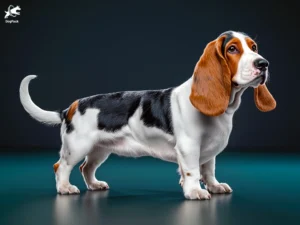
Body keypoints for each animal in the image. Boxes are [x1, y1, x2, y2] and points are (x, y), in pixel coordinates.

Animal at [19, 30, 276, 200]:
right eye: (232, 49)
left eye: (254, 47)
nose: (263, 63)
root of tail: (70, 108)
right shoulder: (189, 147)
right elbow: (193, 171)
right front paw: (195, 191)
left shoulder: (209, 149)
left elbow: (208, 170)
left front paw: (214, 186)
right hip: (77, 146)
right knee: (61, 166)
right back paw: (65, 188)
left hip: (99, 149)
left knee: (86, 168)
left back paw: (94, 185)